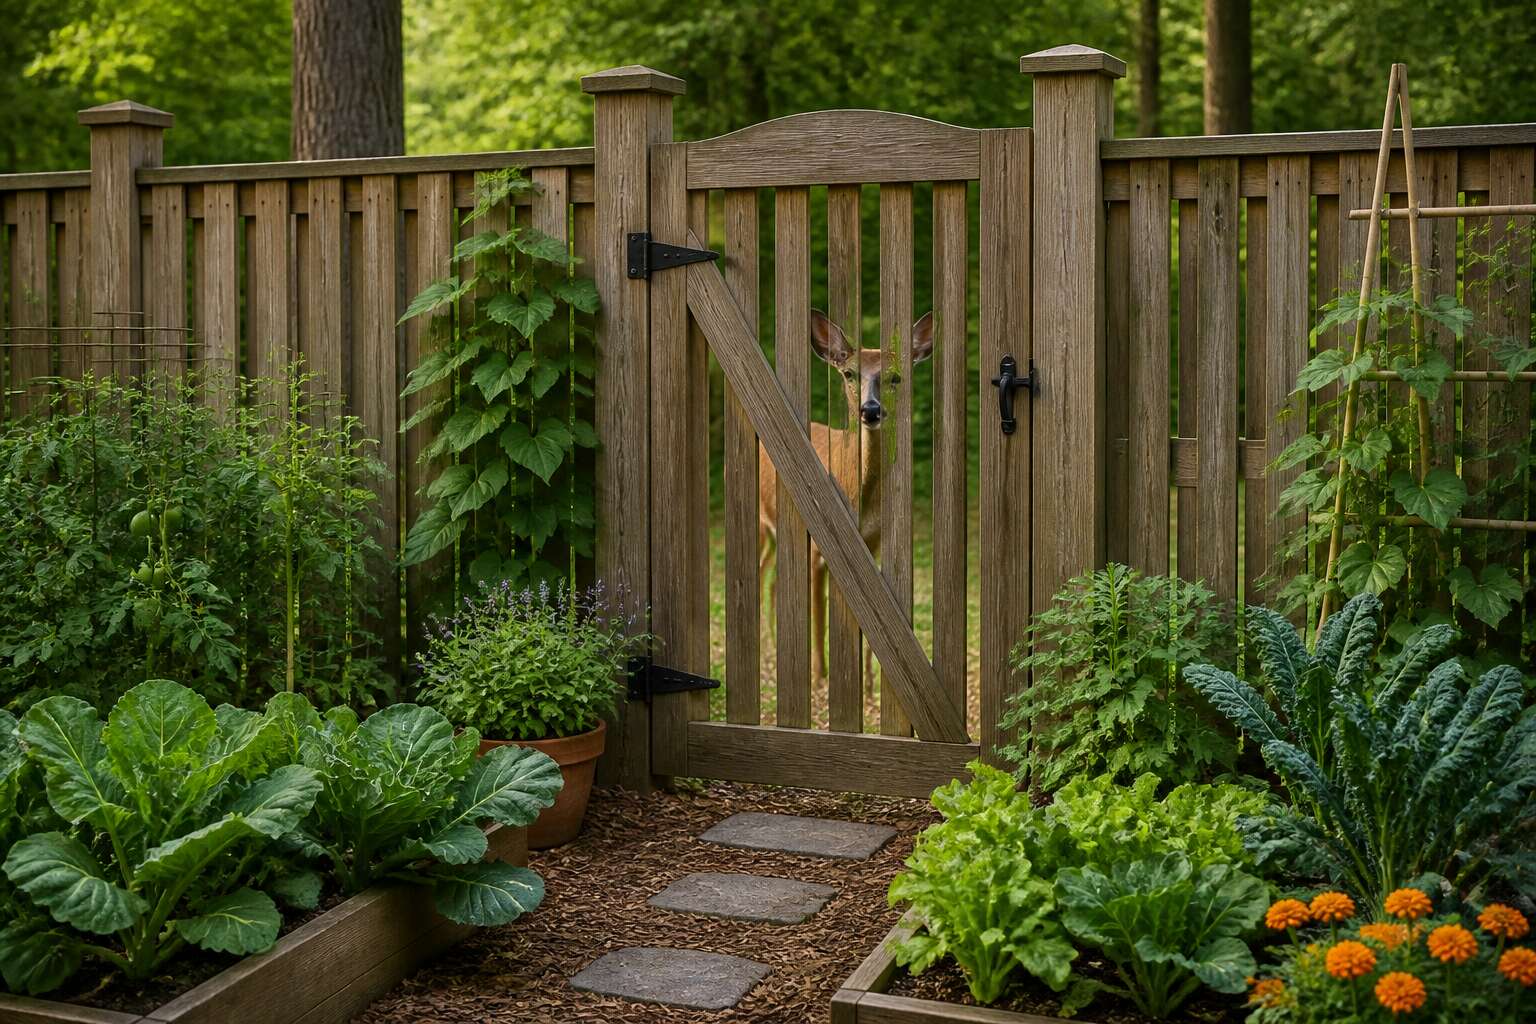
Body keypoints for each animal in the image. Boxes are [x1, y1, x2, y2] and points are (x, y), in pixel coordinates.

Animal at [758, 308, 936, 684]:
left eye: (896, 377)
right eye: (849, 373)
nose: (870, 409)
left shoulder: (874, 542)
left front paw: (867, 683)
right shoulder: (817, 548)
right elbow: (818, 612)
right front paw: (819, 677)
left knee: (772, 575)